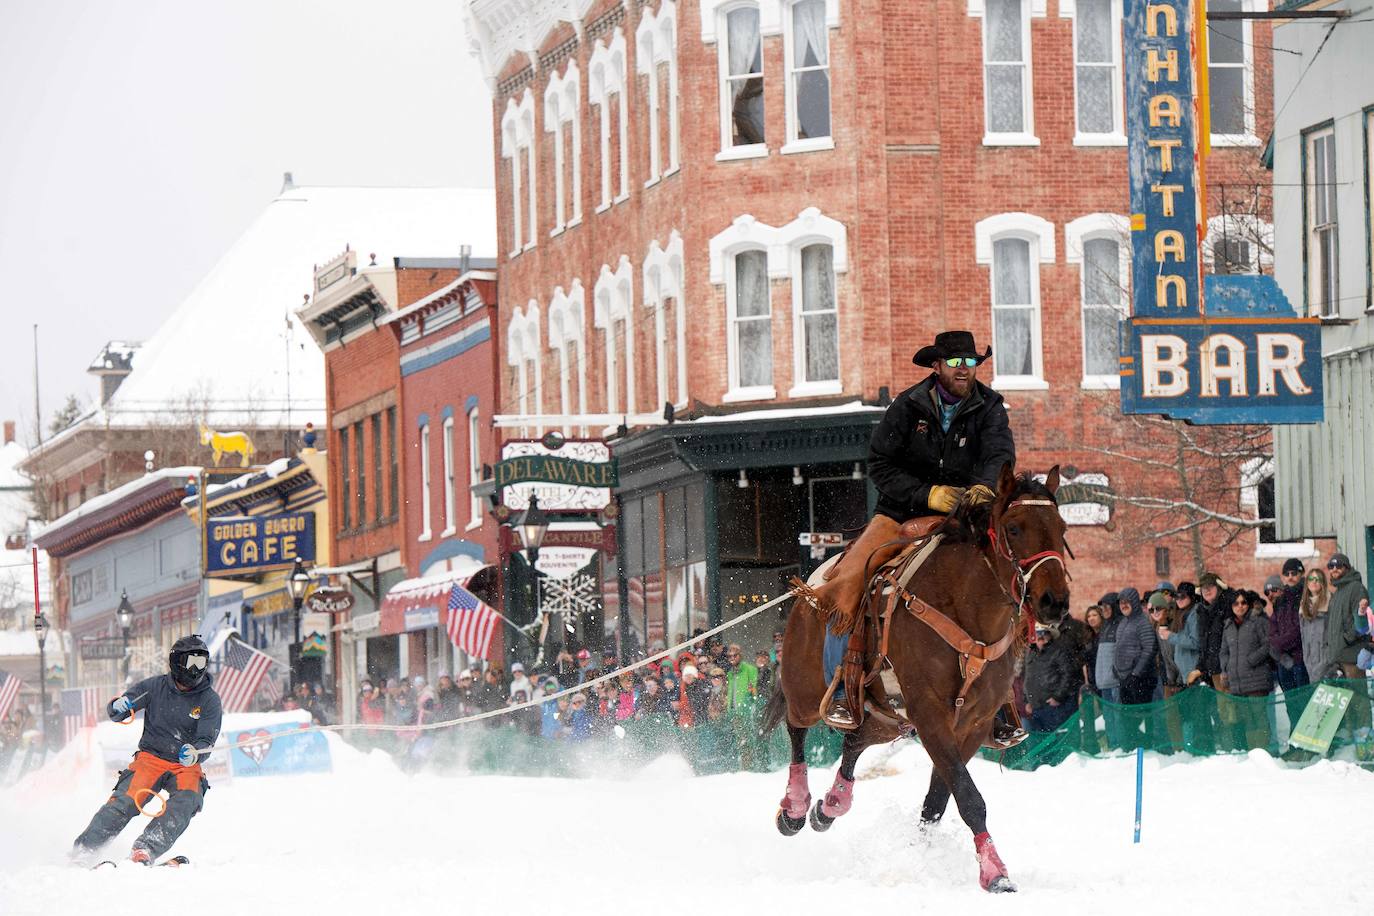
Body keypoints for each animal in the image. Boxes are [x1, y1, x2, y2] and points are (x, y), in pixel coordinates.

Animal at [763, 461, 1071, 889]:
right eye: (1014, 527)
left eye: (1062, 528)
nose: (1054, 601)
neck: (964, 608)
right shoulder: (930, 716)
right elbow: (969, 797)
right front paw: (995, 873)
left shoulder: (971, 724)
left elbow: (939, 800)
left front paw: (923, 855)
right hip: (807, 691)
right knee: (796, 729)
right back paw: (794, 808)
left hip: (886, 718)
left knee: (855, 742)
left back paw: (831, 805)